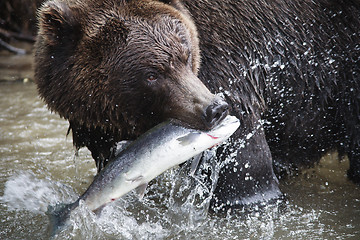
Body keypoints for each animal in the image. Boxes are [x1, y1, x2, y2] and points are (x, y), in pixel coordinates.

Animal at [34, 0, 360, 211]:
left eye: (185, 54)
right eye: (151, 74)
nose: (214, 109)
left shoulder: (234, 67)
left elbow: (246, 168)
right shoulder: (100, 127)